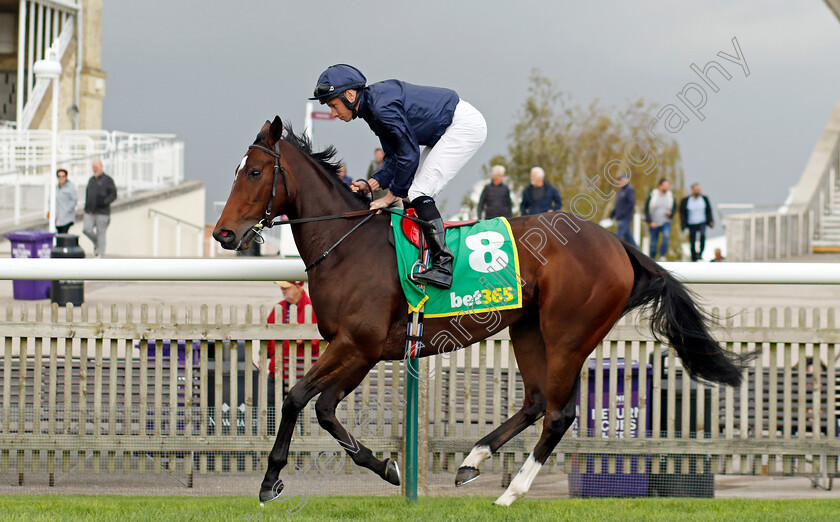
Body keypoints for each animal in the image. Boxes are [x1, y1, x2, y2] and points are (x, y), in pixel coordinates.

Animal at [213, 117, 752, 504]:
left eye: (255, 172)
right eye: (236, 171)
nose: (223, 233)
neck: (347, 244)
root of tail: (617, 244)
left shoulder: (357, 344)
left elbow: (296, 397)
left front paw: (270, 481)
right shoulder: (359, 350)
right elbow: (322, 408)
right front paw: (385, 467)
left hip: (569, 333)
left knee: (560, 412)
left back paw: (511, 492)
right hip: (527, 329)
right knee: (535, 401)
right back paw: (472, 459)